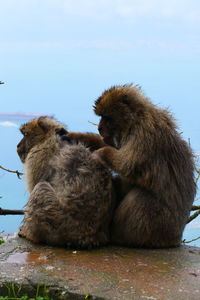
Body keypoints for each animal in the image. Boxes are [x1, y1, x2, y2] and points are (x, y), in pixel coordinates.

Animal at [16, 116, 114, 248]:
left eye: (25, 135)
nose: (17, 146)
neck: (49, 137)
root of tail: (87, 238)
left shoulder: (39, 154)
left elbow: (36, 184)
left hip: (57, 222)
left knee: (40, 188)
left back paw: (31, 234)